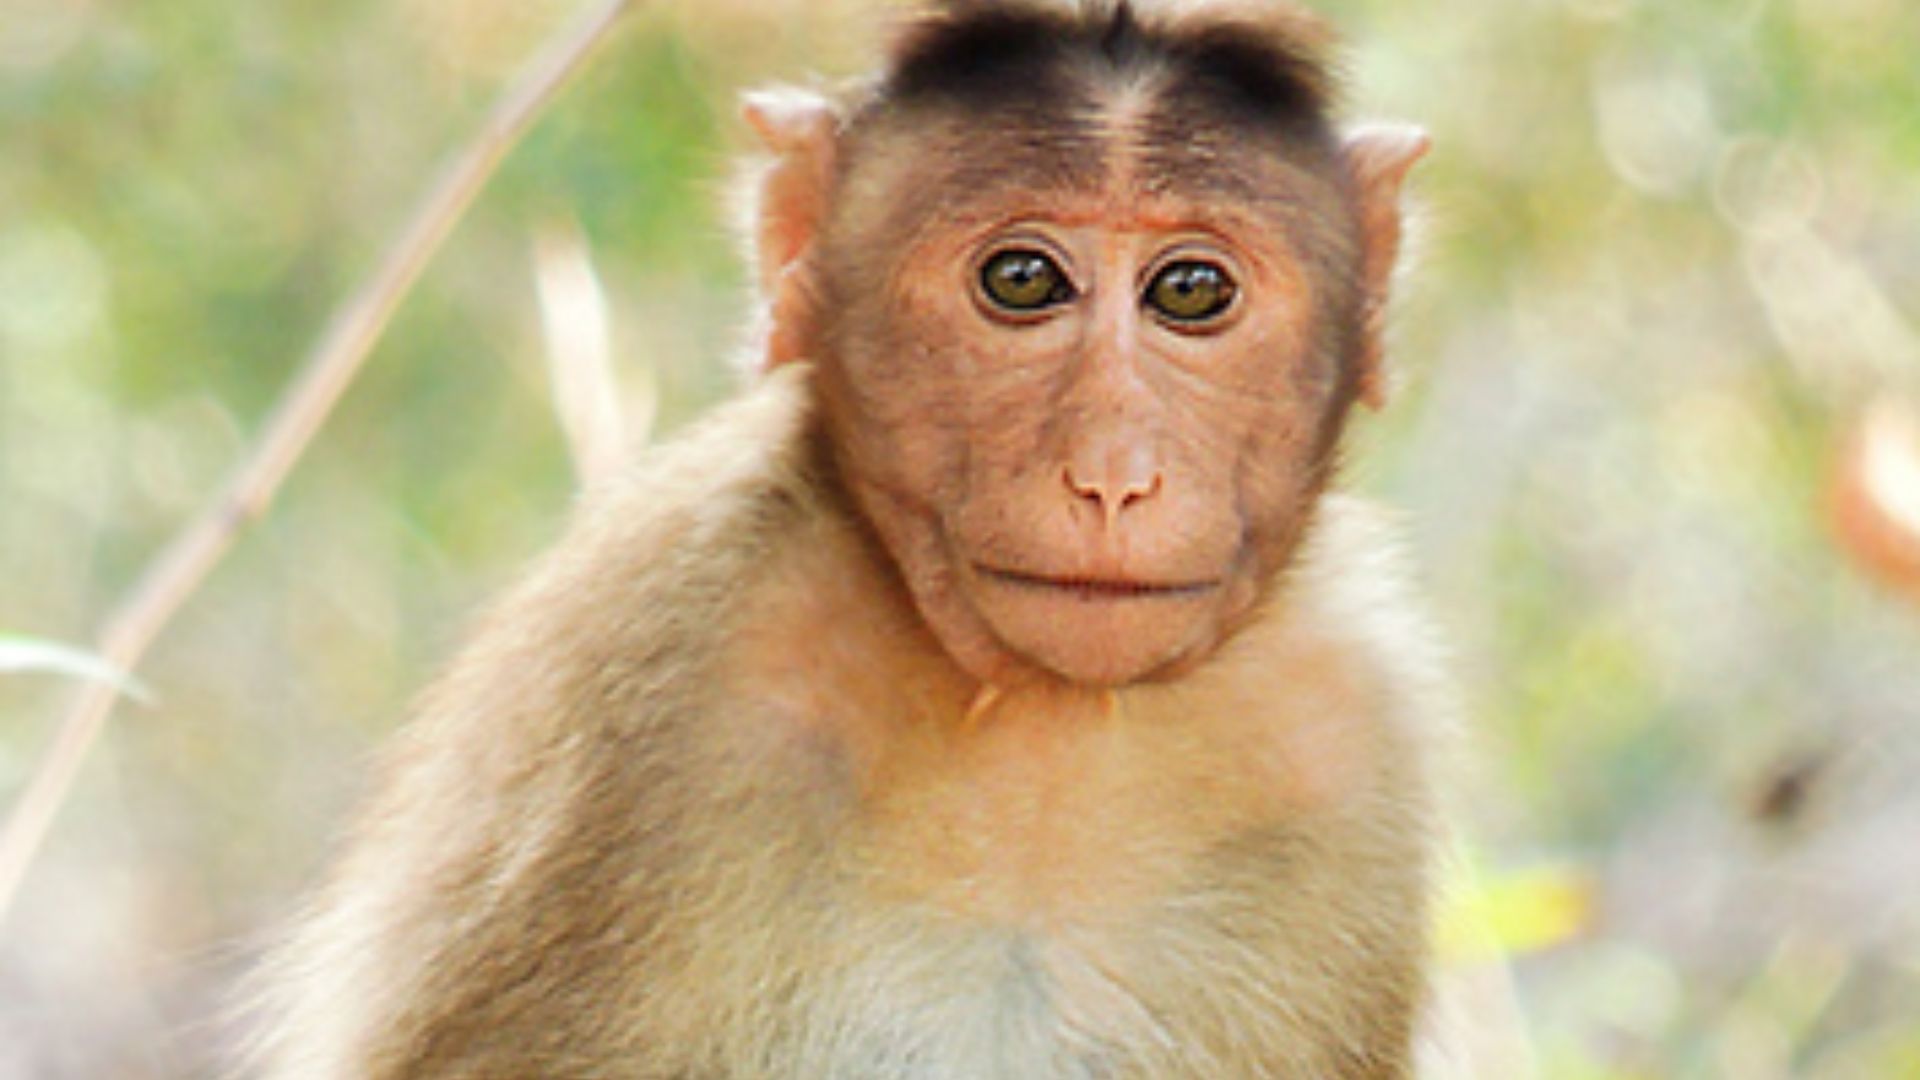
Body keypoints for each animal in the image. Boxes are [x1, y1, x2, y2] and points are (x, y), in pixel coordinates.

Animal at [249, 1, 1445, 1076]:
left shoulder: (1347, 728)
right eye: (1022, 280)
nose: (1113, 473)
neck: (1041, 730)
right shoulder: (664, 663)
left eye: (1191, 291)